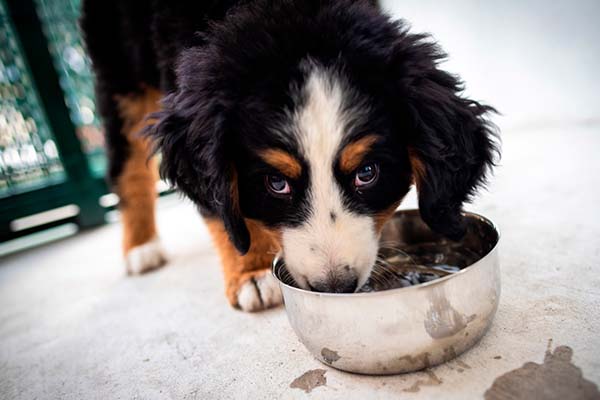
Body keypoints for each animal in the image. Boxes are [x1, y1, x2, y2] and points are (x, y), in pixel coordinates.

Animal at [82, 0, 500, 312]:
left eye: (367, 172)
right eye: (276, 183)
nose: (334, 287)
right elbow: (224, 215)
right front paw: (251, 273)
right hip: (120, 69)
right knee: (127, 166)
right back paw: (141, 246)